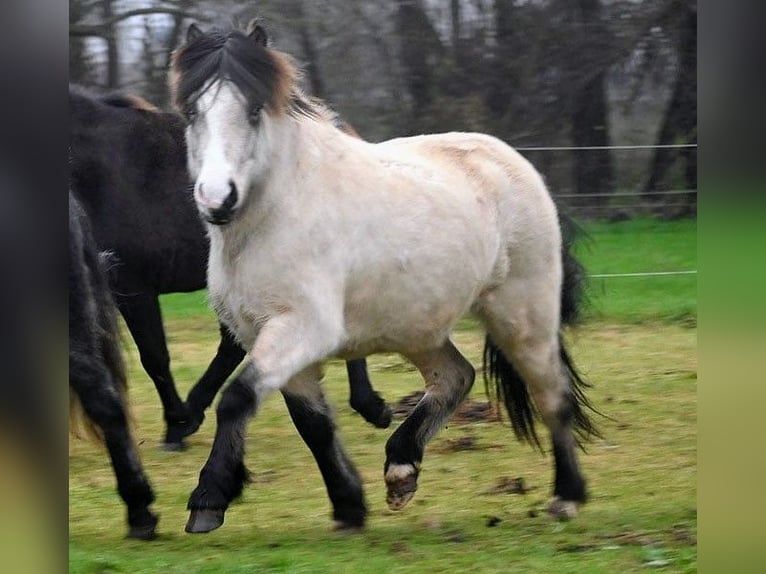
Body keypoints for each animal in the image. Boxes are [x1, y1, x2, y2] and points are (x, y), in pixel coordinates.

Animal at [171, 22, 599, 534]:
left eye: (254, 110)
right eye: (192, 111)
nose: (217, 199)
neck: (279, 211)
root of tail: (516, 164)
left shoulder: (301, 328)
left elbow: (235, 398)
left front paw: (208, 499)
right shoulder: (268, 336)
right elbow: (313, 424)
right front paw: (349, 507)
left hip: (522, 316)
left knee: (552, 394)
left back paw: (567, 497)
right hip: (419, 327)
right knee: (456, 376)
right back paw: (401, 467)